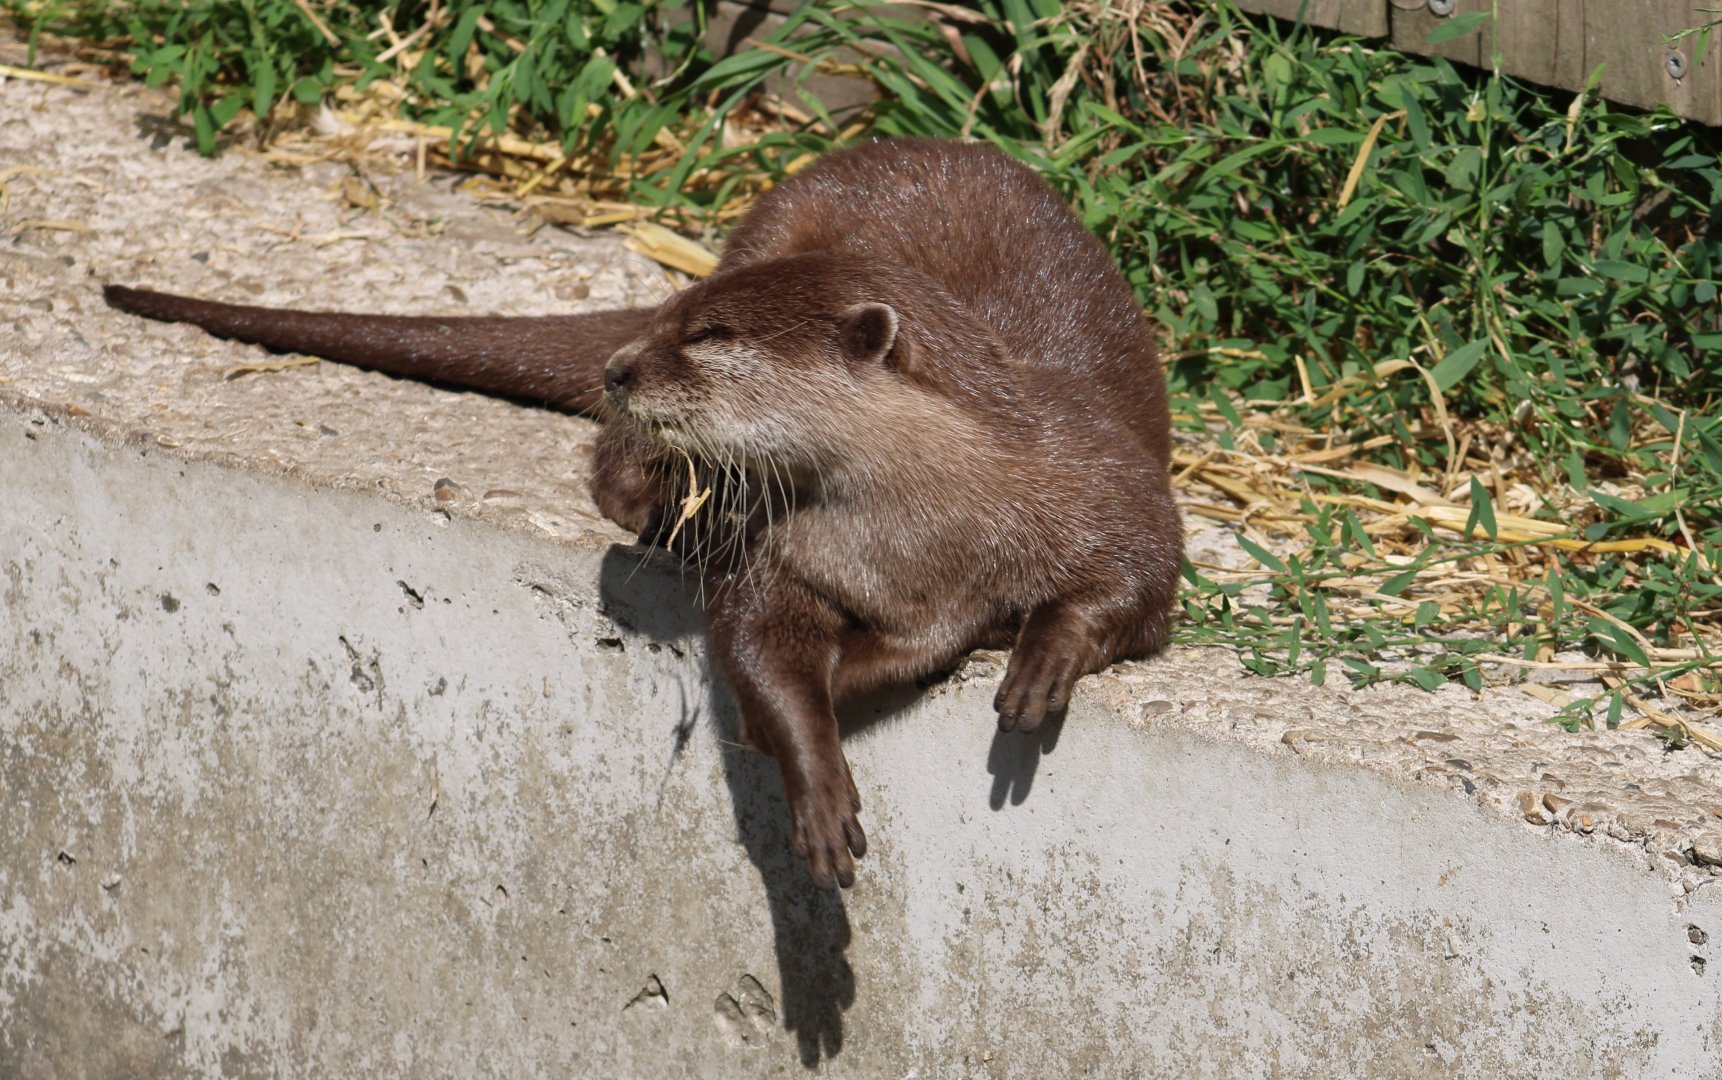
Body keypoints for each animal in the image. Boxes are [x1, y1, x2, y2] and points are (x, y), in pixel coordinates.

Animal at [103, 138, 1183, 890]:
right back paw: (664, 514)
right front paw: (808, 768)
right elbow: (755, 638)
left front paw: (1040, 659)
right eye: (673, 320)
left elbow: (1140, 575)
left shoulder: (1098, 477)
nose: (623, 367)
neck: (925, 532)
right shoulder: (787, 552)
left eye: (710, 336)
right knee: (610, 467)